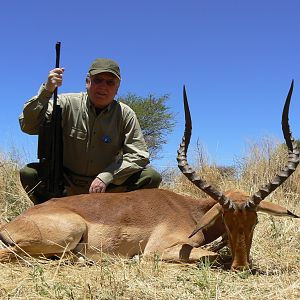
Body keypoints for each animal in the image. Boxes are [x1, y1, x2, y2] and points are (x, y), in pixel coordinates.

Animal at [0, 81, 298, 270]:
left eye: (255, 221)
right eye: (225, 218)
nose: (241, 266)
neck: (190, 211)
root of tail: (15, 222)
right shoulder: (161, 249)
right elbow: (212, 256)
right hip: (69, 232)